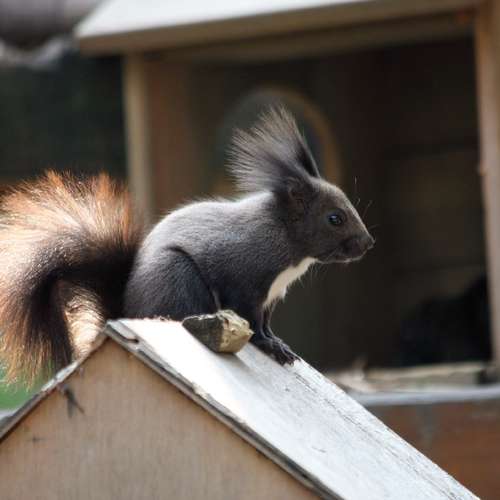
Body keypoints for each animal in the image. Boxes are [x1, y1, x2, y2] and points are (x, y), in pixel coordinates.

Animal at [0, 107, 374, 383]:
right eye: (335, 218)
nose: (368, 244)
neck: (283, 236)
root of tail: (125, 313)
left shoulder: (271, 296)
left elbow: (265, 322)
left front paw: (280, 344)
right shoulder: (245, 282)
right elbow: (252, 323)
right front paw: (270, 347)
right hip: (178, 279)